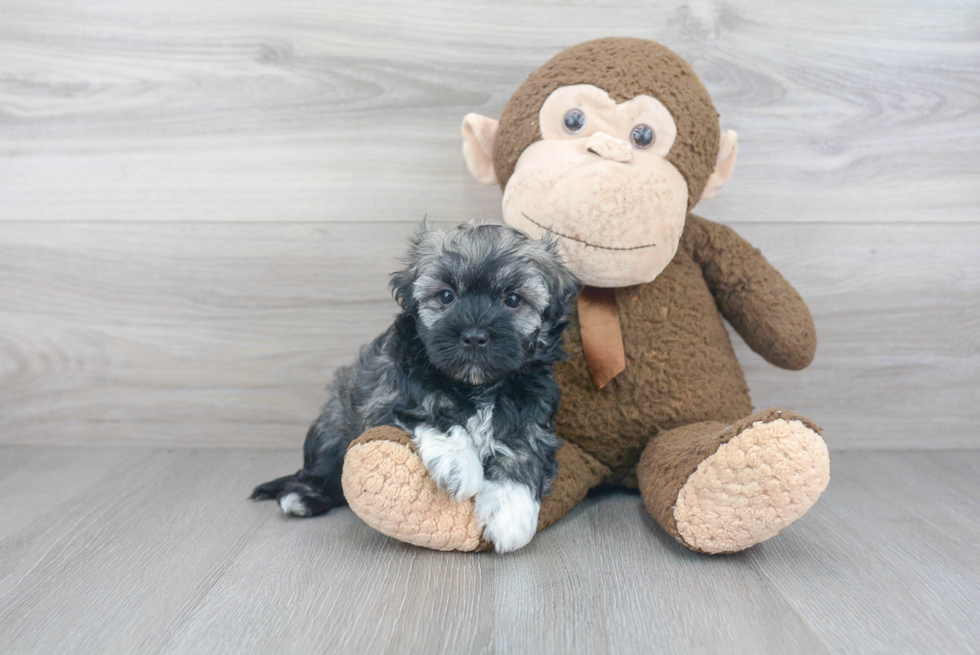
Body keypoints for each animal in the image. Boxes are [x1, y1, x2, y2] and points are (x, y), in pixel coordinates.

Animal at [249, 222, 580, 552]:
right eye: (446, 295)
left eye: (513, 299)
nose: (474, 335)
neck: (476, 386)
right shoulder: (386, 398)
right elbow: (430, 411)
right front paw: (459, 467)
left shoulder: (532, 414)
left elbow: (522, 449)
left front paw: (509, 513)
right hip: (333, 426)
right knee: (320, 469)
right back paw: (302, 496)